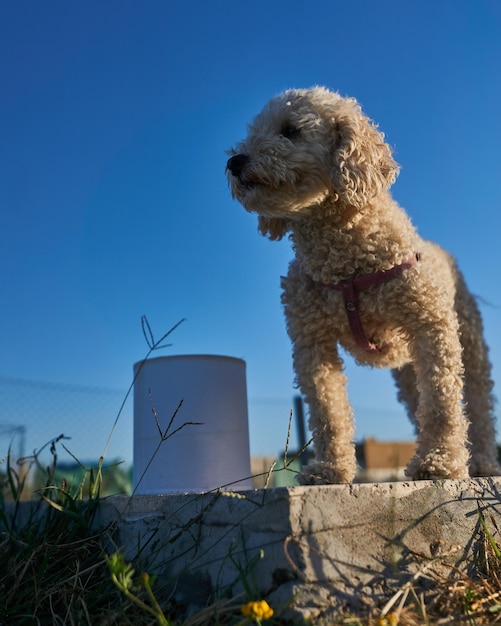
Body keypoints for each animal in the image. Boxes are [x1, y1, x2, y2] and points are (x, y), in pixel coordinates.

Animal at [228, 85, 500, 480]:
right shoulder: (312, 342)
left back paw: (482, 461)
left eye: (290, 130)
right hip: (406, 371)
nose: (235, 162)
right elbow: (328, 411)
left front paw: (439, 462)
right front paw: (328, 469)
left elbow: (442, 400)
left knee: (478, 404)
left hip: (470, 343)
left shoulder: (431, 325)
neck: (345, 260)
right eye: (253, 132)